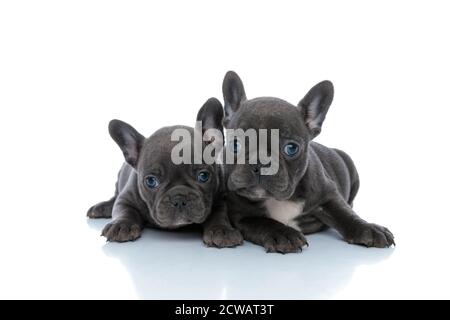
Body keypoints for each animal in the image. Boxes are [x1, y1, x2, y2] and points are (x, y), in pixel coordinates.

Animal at [87, 97, 243, 248]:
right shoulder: (126, 198)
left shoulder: (220, 198)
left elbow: (219, 214)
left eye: (203, 176)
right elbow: (123, 210)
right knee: (114, 197)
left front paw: (221, 230)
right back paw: (102, 207)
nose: (179, 199)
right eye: (151, 181)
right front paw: (121, 225)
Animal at [221, 71, 394, 254]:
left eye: (291, 148)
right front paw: (284, 234)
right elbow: (263, 222)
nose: (261, 163)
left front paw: (369, 228)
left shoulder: (328, 195)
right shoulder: (242, 216)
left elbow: (344, 214)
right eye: (235, 144)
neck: (277, 200)